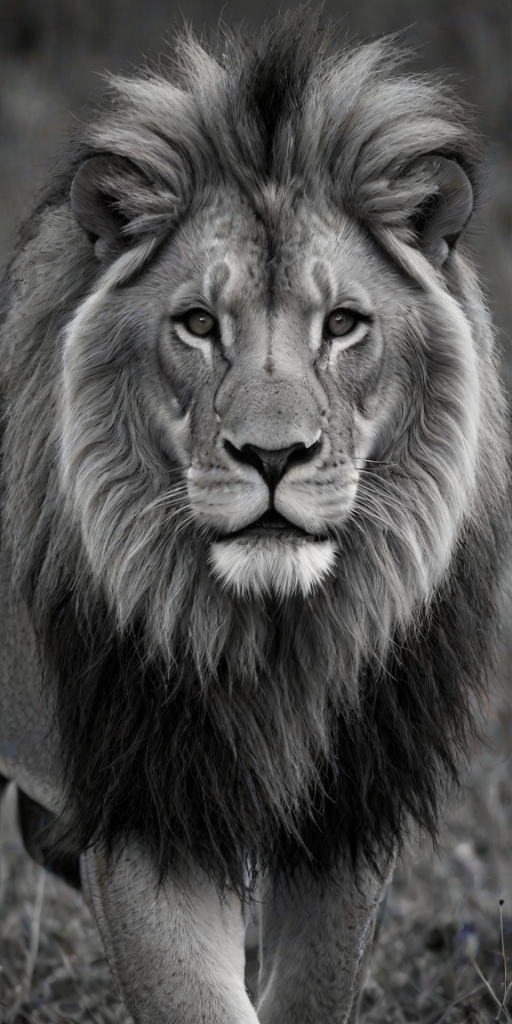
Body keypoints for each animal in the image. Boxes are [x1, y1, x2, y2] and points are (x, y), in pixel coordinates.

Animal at [0, 10, 509, 1023]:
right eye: (199, 324)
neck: (273, 640)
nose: (273, 457)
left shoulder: (348, 809)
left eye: (344, 323)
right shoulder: (145, 804)